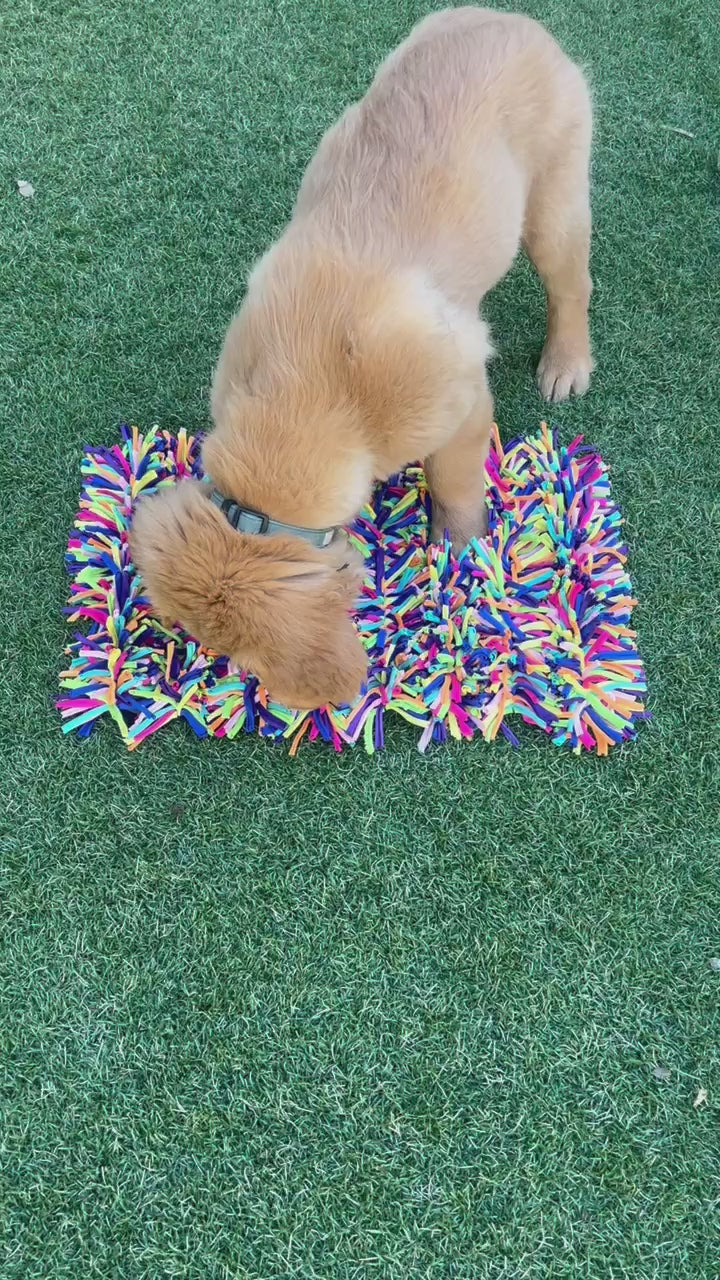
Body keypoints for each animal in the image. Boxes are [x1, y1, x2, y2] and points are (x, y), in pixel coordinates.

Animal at [131, 5, 591, 711]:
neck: (307, 395)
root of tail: (508, 19)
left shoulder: (460, 402)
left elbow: (455, 483)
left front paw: (457, 550)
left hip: (554, 202)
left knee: (572, 286)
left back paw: (566, 363)